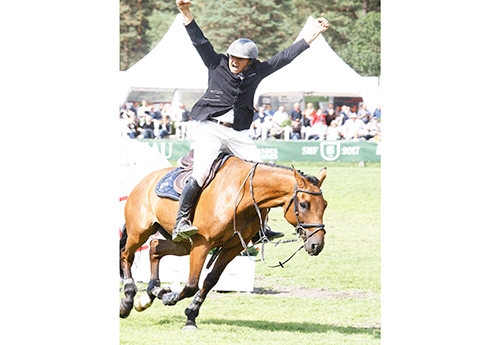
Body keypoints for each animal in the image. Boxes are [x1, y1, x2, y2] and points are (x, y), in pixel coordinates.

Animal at [118, 155, 328, 328]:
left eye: (325, 205)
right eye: (304, 204)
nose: (316, 245)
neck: (241, 196)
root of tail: (144, 181)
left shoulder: (233, 246)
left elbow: (210, 280)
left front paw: (190, 314)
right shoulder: (202, 244)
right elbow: (191, 284)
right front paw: (171, 298)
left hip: (182, 244)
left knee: (155, 248)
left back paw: (151, 294)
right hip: (140, 232)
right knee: (126, 255)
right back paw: (128, 300)